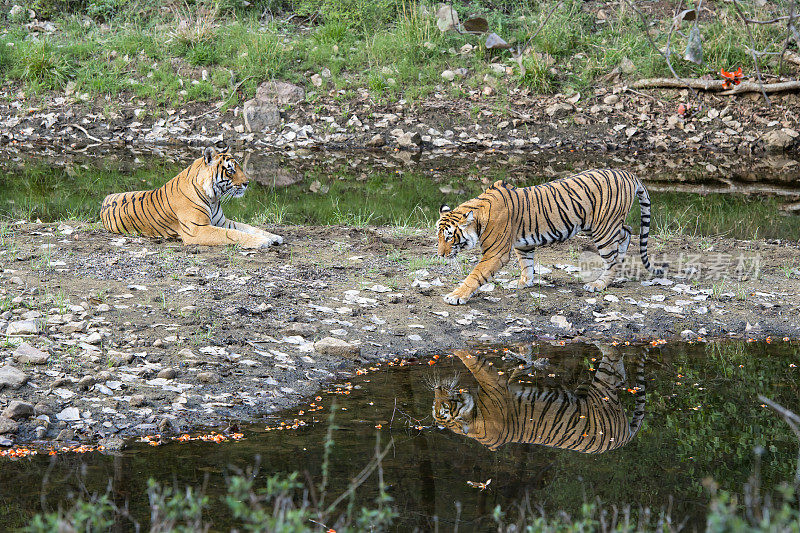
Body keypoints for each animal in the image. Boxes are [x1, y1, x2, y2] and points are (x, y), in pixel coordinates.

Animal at [100, 147, 282, 248]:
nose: (247, 183)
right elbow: (233, 234)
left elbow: (249, 227)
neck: (214, 197)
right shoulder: (197, 230)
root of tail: (105, 199)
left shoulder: (222, 222)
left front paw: (273, 237)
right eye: (230, 170)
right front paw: (261, 241)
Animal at [434, 170, 664, 304]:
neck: (479, 215)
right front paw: (524, 283)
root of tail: (627, 173)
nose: (440, 255)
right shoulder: (522, 244)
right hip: (597, 224)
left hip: (603, 228)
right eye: (438, 237)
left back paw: (598, 284)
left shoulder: (495, 253)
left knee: (613, 256)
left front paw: (456, 296)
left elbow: (475, 275)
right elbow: (526, 264)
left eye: (449, 237)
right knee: (626, 232)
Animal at [434, 344, 648, 454]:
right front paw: (522, 358)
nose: (436, 388)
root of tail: (623, 440)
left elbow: (471, 361)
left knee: (615, 358)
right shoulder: (502, 384)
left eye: (442, 405)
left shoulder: (494, 383)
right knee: (619, 372)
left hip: (600, 385)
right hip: (592, 388)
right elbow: (521, 369)